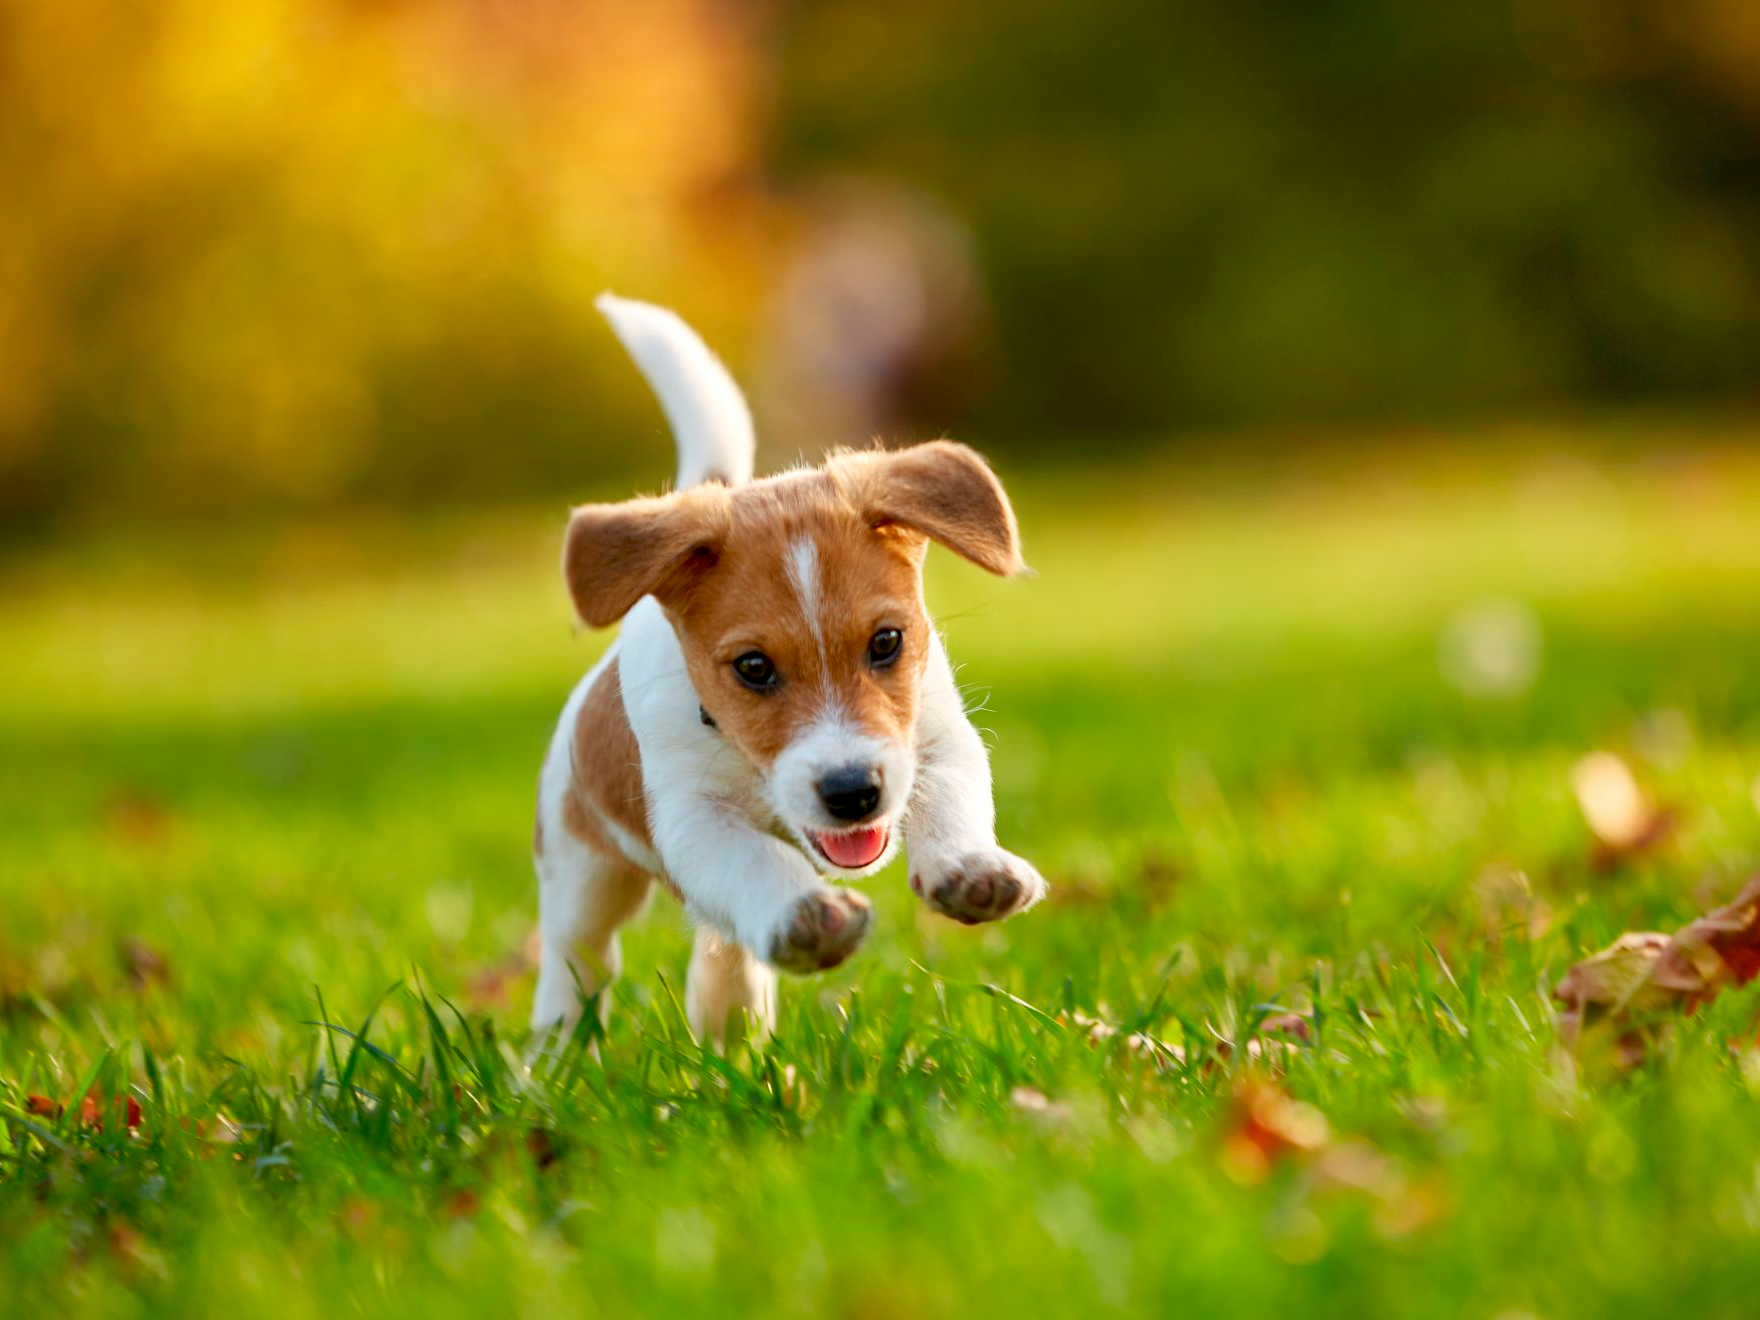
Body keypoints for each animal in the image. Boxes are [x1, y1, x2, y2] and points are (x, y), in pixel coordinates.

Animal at [524, 293, 1041, 1048]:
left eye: (887, 641)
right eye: (753, 668)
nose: (853, 793)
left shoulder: (937, 740)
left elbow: (952, 800)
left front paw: (969, 866)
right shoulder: (692, 819)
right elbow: (754, 862)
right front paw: (805, 917)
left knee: (725, 952)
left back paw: (731, 1036)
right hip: (579, 875)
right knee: (576, 965)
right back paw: (556, 1058)